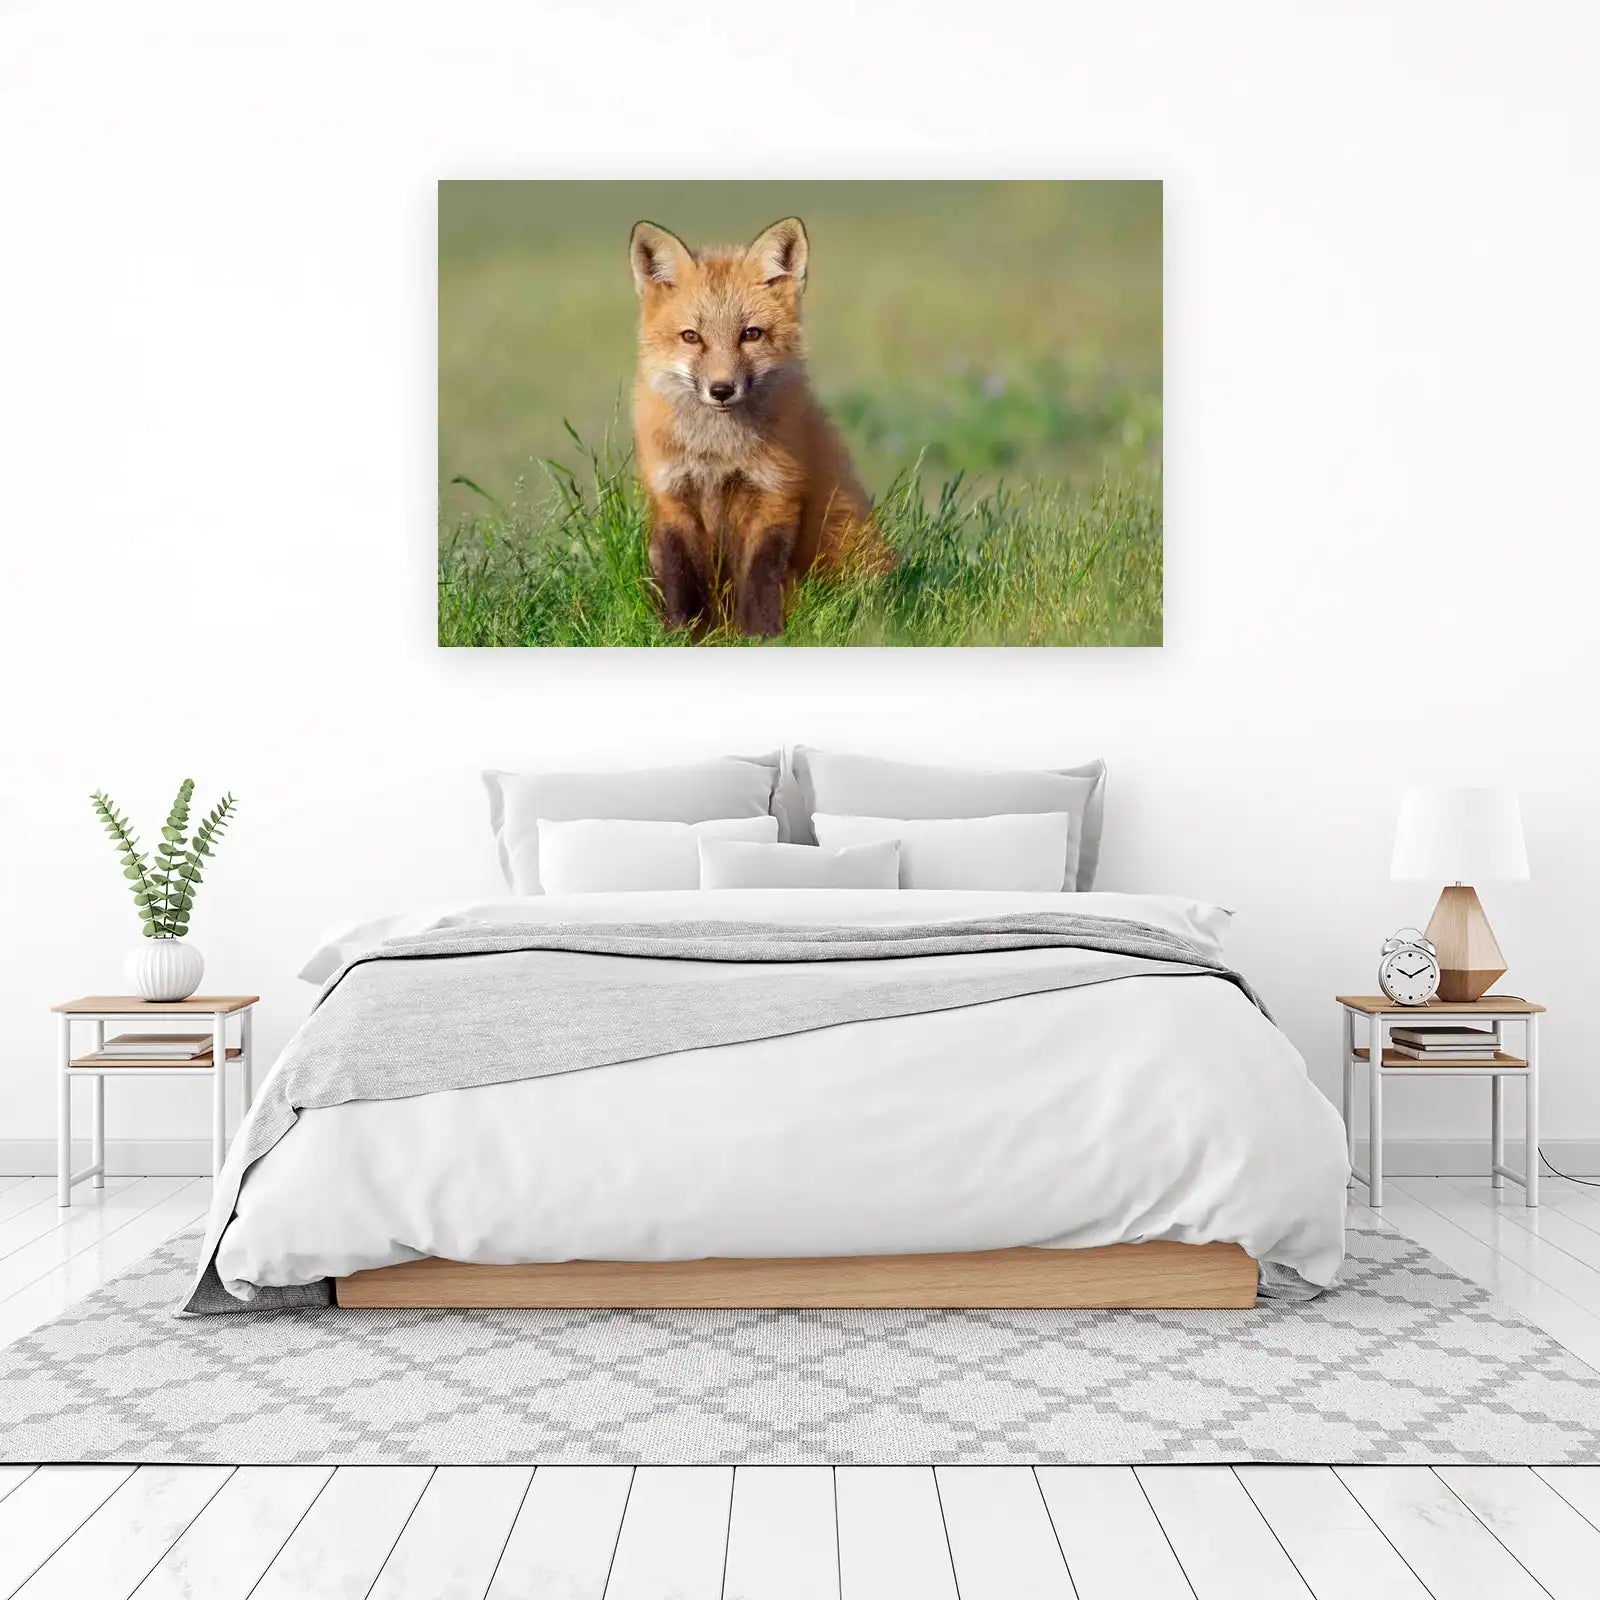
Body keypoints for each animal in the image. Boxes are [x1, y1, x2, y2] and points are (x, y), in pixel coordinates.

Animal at [628, 215, 892, 638]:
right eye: (691, 337)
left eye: (750, 334)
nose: (721, 390)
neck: (717, 453)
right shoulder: (672, 499)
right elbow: (681, 580)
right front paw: (683, 636)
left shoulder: (775, 494)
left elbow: (760, 580)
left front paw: (762, 637)